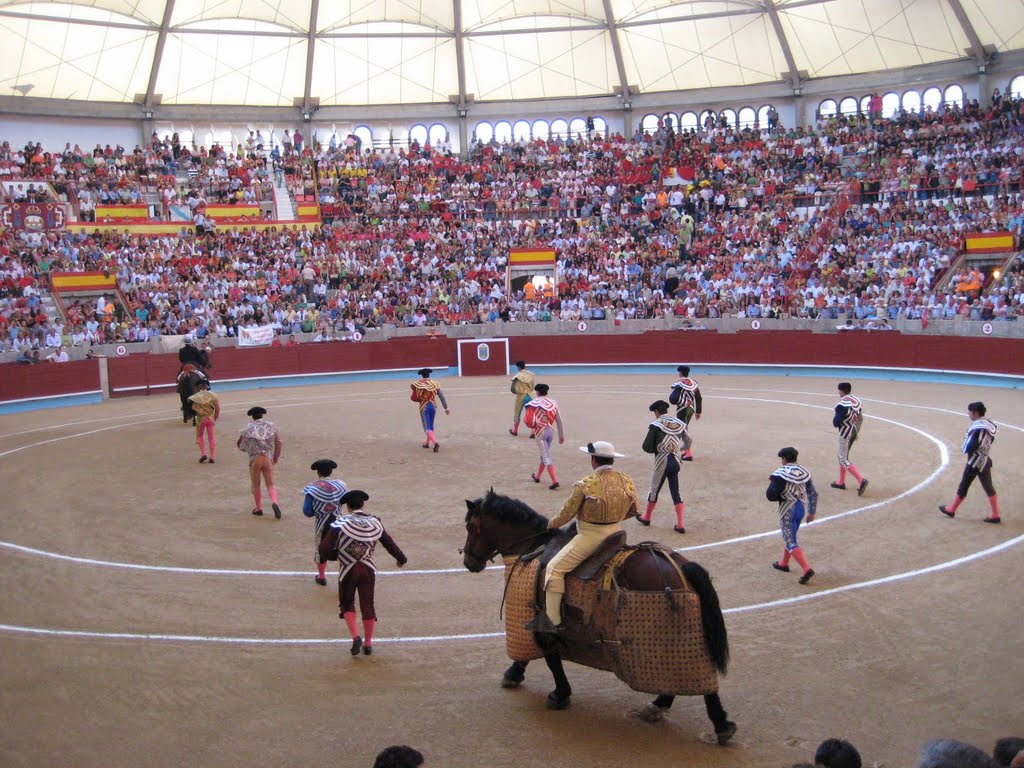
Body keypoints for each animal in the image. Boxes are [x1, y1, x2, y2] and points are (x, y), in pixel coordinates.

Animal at [464, 489, 737, 749]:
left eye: (470, 527)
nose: (468, 561)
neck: (533, 545)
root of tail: (682, 566)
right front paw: (518, 674)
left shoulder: (539, 622)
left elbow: (550, 658)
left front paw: (556, 693)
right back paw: (660, 706)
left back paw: (720, 725)